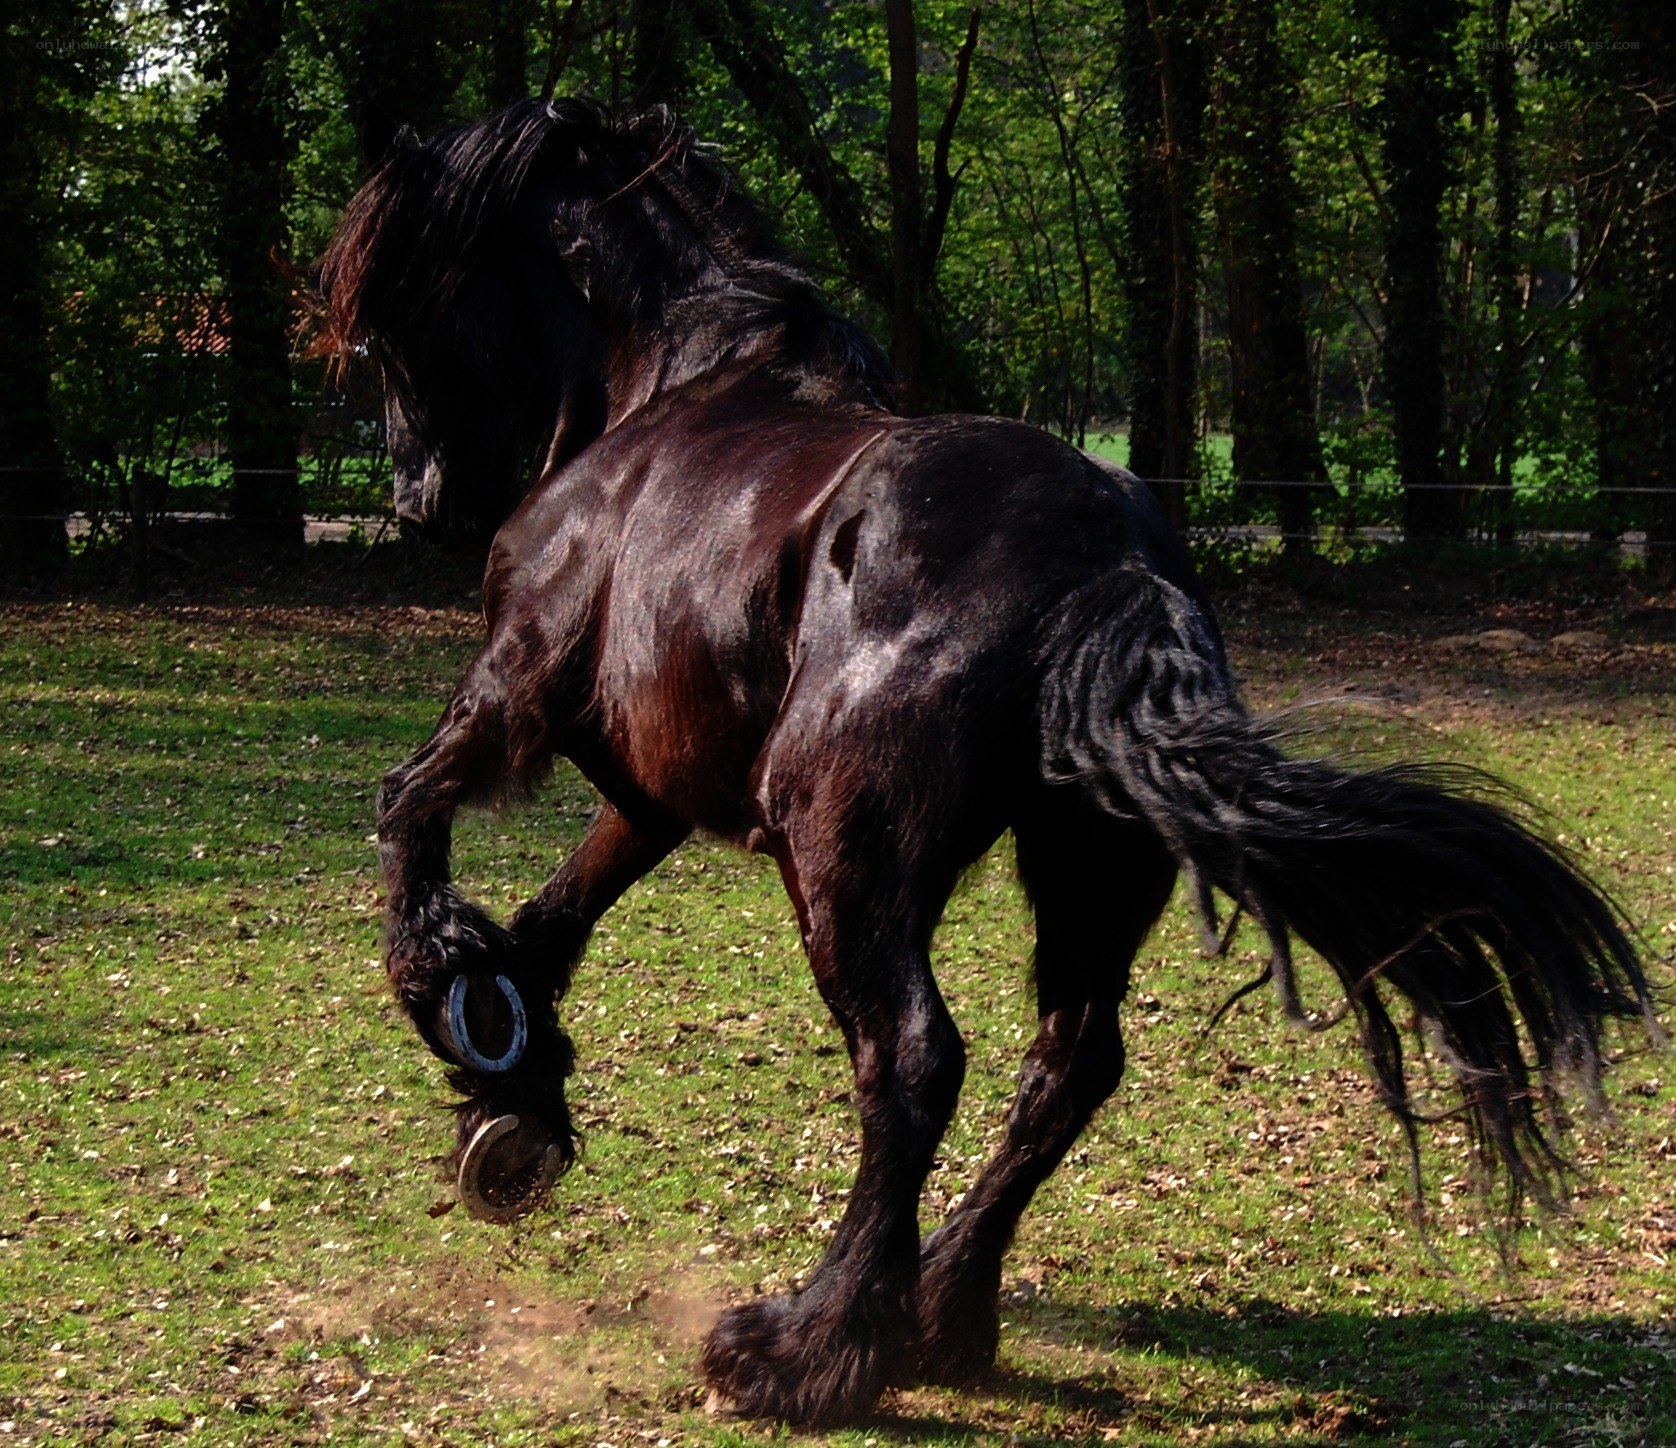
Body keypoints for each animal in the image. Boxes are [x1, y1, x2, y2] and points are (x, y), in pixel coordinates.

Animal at [315, 99, 1657, 1426]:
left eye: (386, 325)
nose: (417, 501)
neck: (674, 388)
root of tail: (1108, 564)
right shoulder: (653, 791)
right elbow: (553, 920)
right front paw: (514, 1092)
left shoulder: (517, 689)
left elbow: (409, 804)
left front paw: (450, 995)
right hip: (1082, 866)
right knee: (1068, 1063)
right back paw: (942, 1310)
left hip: (842, 856)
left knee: (911, 1059)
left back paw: (804, 1348)